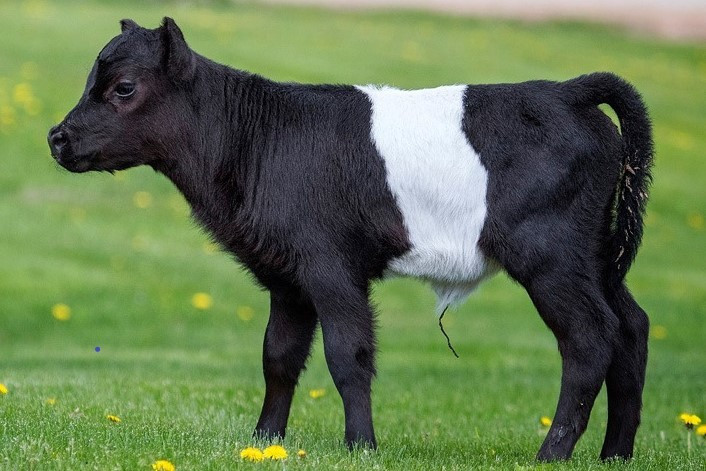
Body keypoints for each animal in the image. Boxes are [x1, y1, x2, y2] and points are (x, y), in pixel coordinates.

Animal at [49, 17, 652, 460]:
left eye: (123, 87)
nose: (57, 138)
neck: (256, 139)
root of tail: (566, 91)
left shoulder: (330, 266)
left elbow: (348, 354)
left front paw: (360, 446)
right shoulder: (287, 279)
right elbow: (279, 356)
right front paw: (264, 442)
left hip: (551, 257)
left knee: (590, 337)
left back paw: (551, 453)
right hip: (597, 256)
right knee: (632, 327)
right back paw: (614, 454)